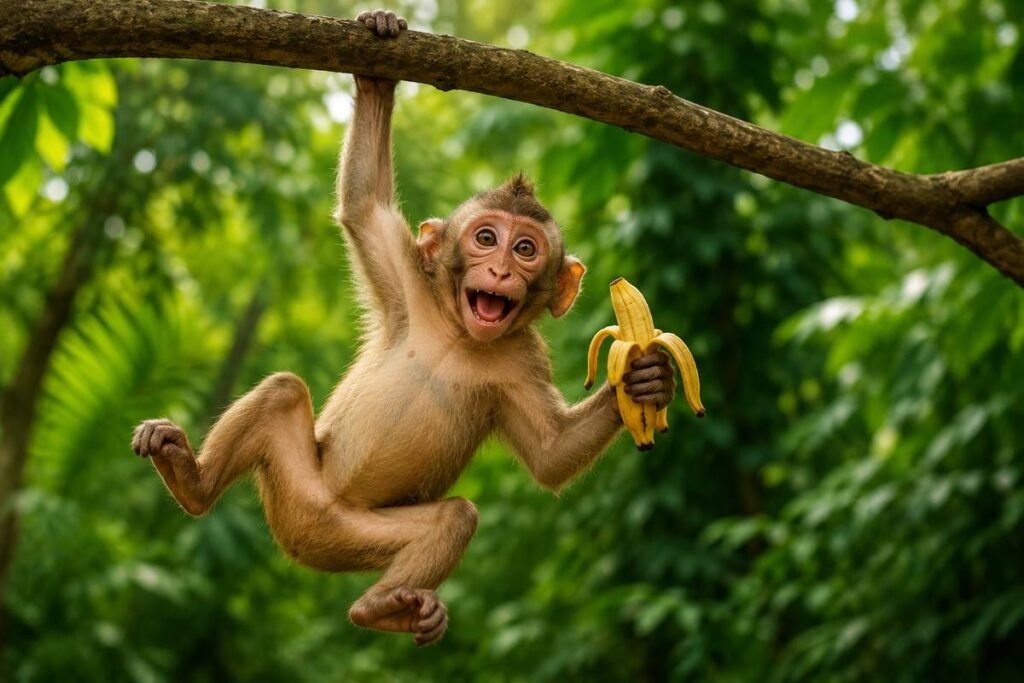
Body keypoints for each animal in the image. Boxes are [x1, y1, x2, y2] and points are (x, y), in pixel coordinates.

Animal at [130, 10, 675, 647]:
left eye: (525, 249)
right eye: (485, 238)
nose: (499, 270)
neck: (460, 333)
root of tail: (300, 539)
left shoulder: (524, 359)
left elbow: (551, 456)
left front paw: (645, 380)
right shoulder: (413, 287)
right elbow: (364, 205)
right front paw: (378, 61)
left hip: (353, 533)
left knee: (453, 515)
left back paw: (381, 609)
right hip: (301, 488)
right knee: (285, 391)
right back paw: (192, 483)